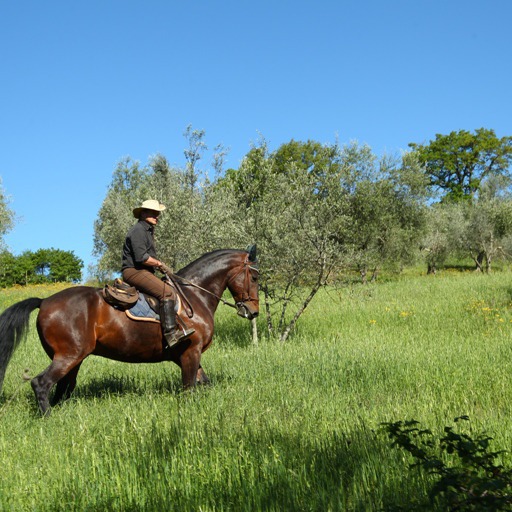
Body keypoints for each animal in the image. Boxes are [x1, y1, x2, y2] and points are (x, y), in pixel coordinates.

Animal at [0, 248, 258, 416]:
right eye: (255, 277)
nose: (253, 311)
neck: (194, 295)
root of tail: (44, 301)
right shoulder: (190, 352)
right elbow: (189, 389)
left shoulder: (184, 356)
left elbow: (203, 383)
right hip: (68, 356)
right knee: (41, 384)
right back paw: (48, 419)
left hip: (73, 359)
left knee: (63, 388)